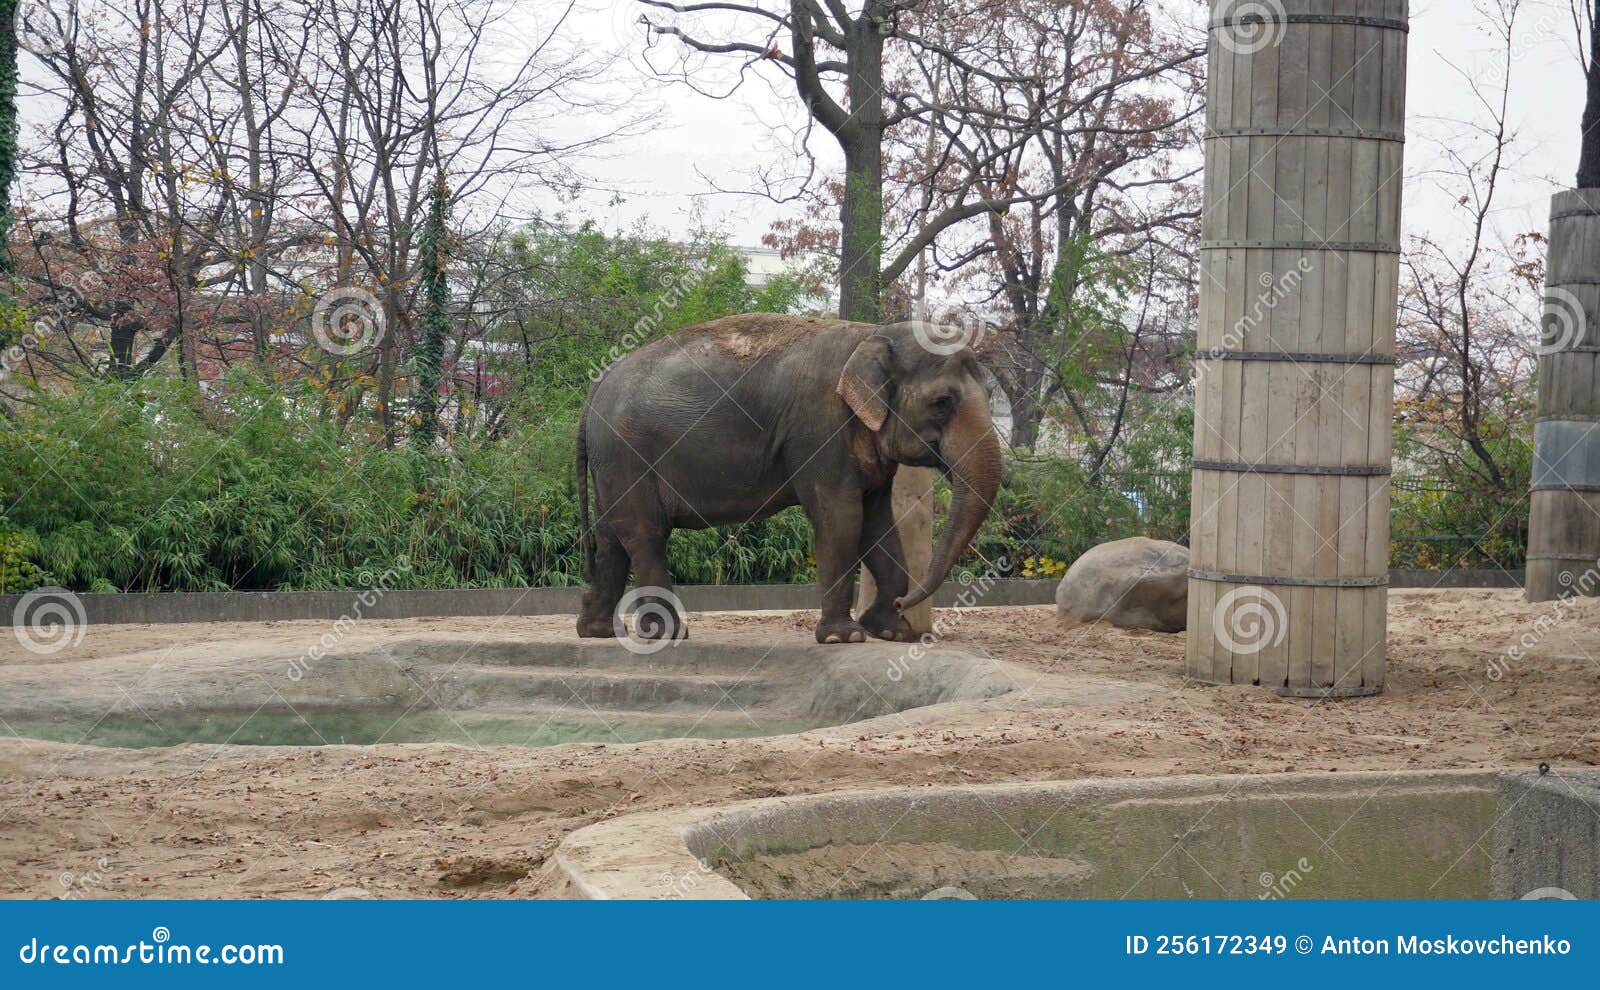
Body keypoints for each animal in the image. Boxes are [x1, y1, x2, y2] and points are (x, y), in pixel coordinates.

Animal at [575, 313, 1002, 645]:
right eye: (942, 403)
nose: (903, 604)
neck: (873, 333)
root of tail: (593, 390)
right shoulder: (819, 429)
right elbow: (841, 520)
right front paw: (844, 637)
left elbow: (878, 524)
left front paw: (890, 632)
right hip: (626, 454)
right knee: (644, 534)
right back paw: (666, 633)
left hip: (610, 464)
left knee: (611, 536)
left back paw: (596, 631)